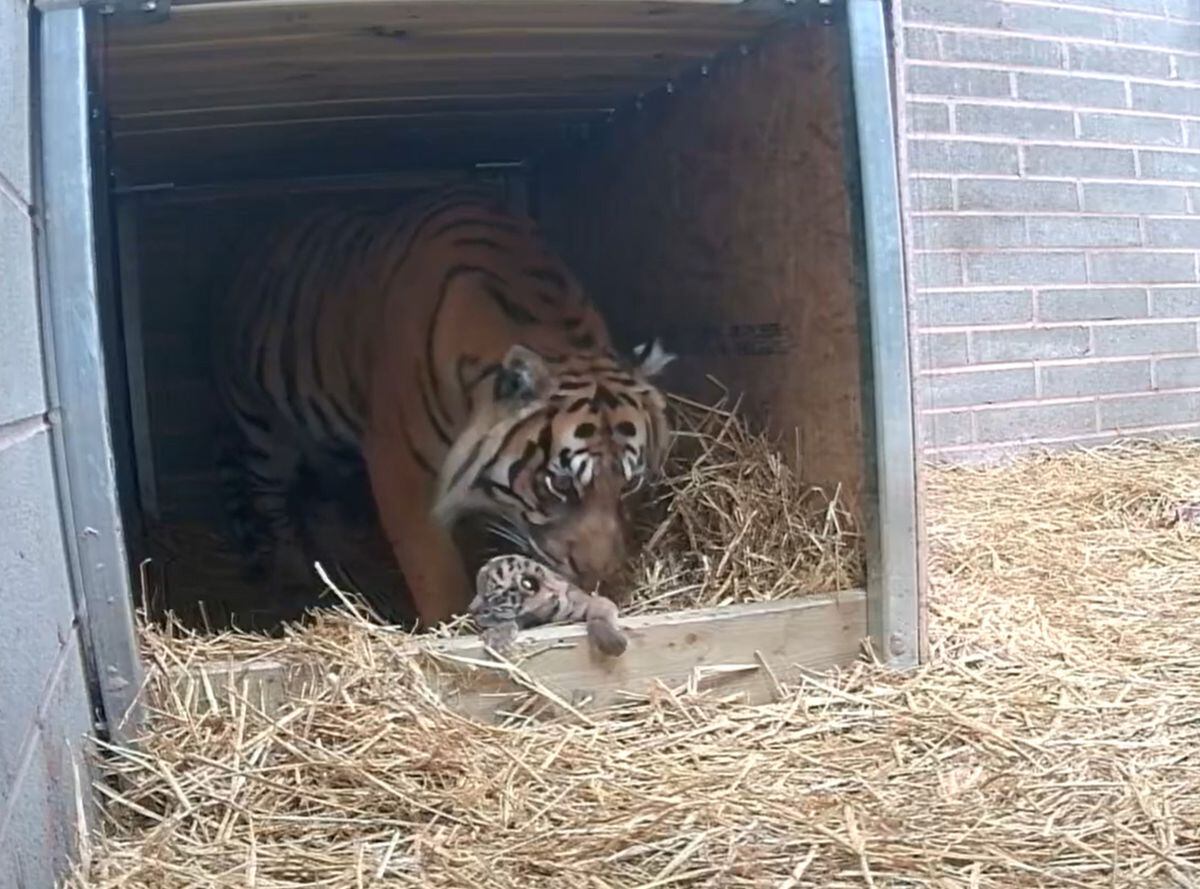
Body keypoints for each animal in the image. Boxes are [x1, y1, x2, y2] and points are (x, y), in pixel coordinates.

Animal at [213, 183, 676, 619]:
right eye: (560, 484)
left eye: (629, 483)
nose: (599, 578)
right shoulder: (400, 468)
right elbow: (434, 569)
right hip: (261, 426)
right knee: (270, 502)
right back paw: (294, 577)